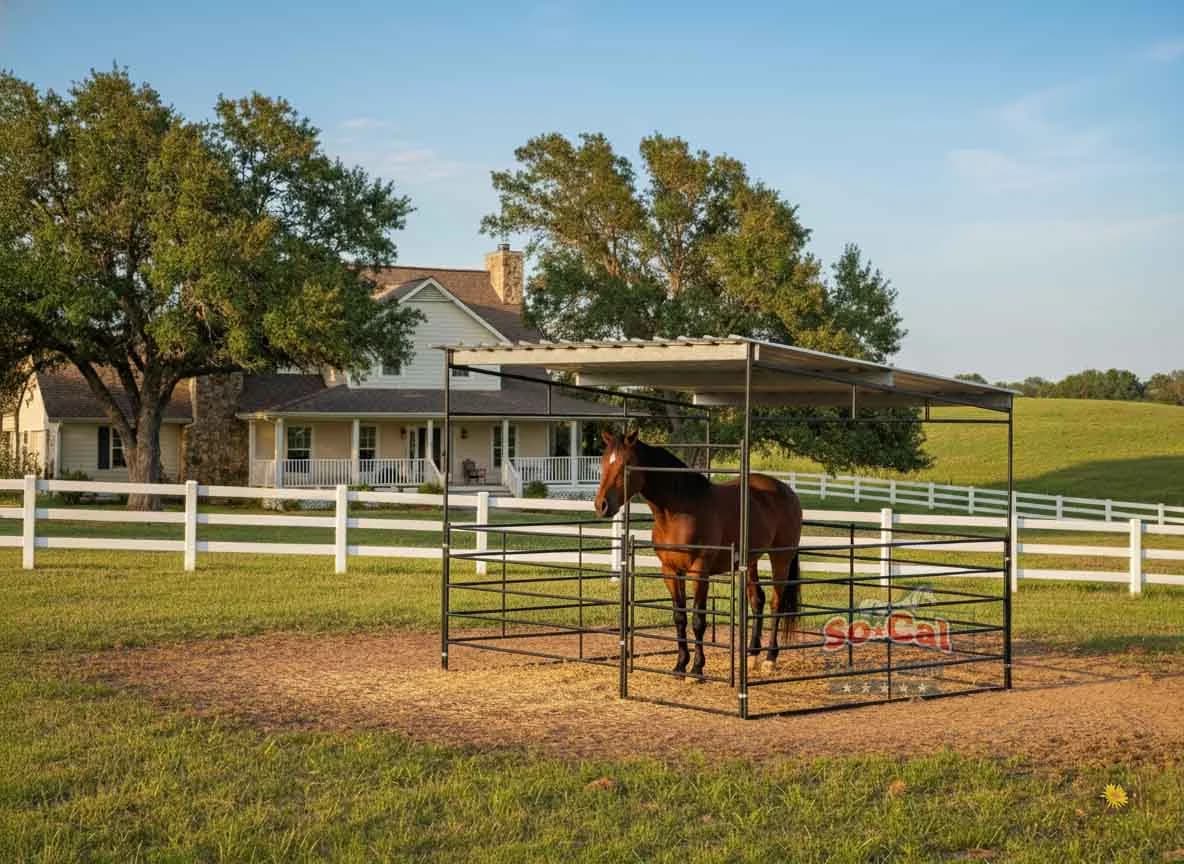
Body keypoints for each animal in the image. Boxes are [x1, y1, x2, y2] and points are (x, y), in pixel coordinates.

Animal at [593, 429, 803, 680]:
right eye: (603, 462)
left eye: (626, 465)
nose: (601, 505)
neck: (679, 511)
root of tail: (787, 491)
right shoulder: (670, 571)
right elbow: (680, 617)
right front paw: (680, 666)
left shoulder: (699, 571)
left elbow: (697, 619)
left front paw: (697, 668)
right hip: (751, 559)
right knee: (757, 600)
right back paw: (752, 656)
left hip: (781, 557)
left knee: (776, 603)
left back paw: (770, 659)